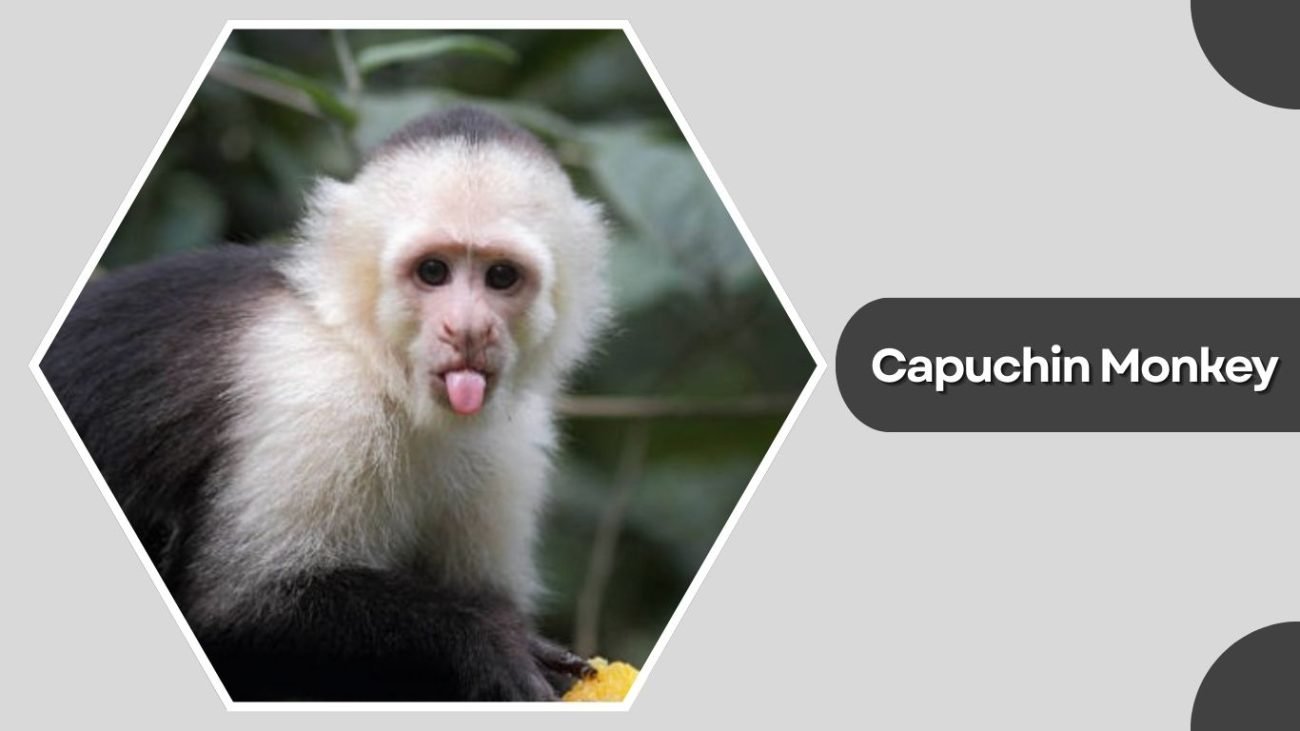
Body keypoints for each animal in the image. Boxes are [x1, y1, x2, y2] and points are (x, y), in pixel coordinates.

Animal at [41, 107, 612, 702]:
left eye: (501, 276)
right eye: (433, 272)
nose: (468, 330)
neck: (383, 370)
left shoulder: (512, 439)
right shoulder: (322, 398)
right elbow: (237, 607)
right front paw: (485, 636)